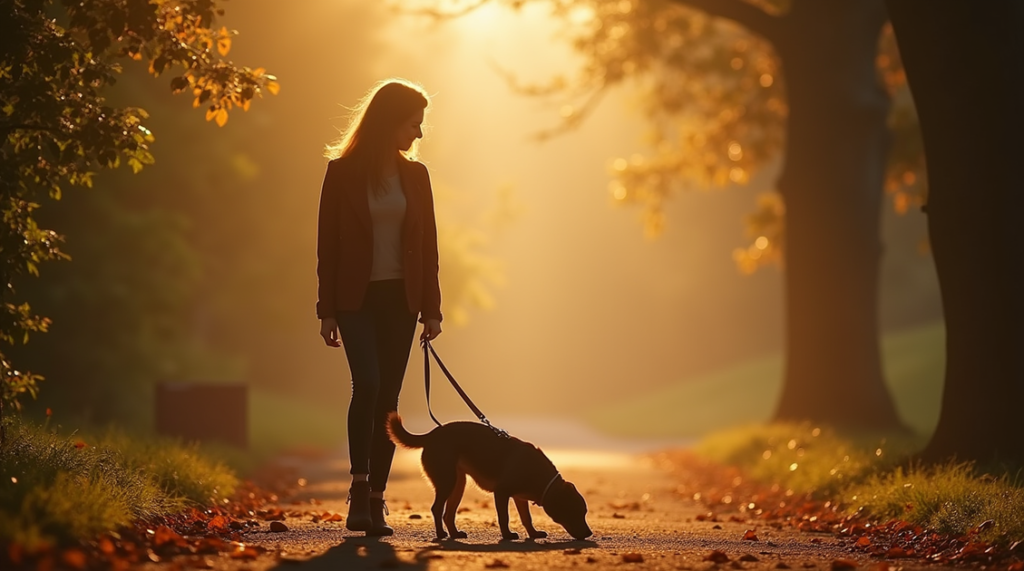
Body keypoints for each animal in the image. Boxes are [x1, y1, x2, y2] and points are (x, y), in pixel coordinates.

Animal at [385, 415, 593, 540]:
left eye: (584, 512)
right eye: (576, 512)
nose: (590, 533)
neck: (538, 474)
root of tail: (431, 435)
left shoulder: (520, 498)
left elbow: (526, 518)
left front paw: (533, 534)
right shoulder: (501, 493)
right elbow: (504, 517)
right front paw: (507, 535)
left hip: (458, 485)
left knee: (447, 514)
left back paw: (454, 533)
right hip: (447, 482)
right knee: (437, 509)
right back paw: (441, 534)